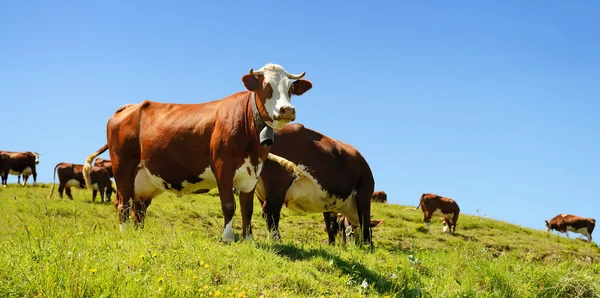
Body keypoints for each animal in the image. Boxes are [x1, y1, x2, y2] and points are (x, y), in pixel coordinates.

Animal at [83, 63, 314, 242]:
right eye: (266, 86)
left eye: (290, 89)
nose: (287, 110)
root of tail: (128, 107)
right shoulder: (223, 167)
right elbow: (228, 205)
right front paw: (228, 237)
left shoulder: (252, 173)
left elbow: (247, 208)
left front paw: (249, 238)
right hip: (123, 166)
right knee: (123, 204)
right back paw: (126, 234)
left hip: (143, 177)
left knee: (137, 208)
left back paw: (138, 234)